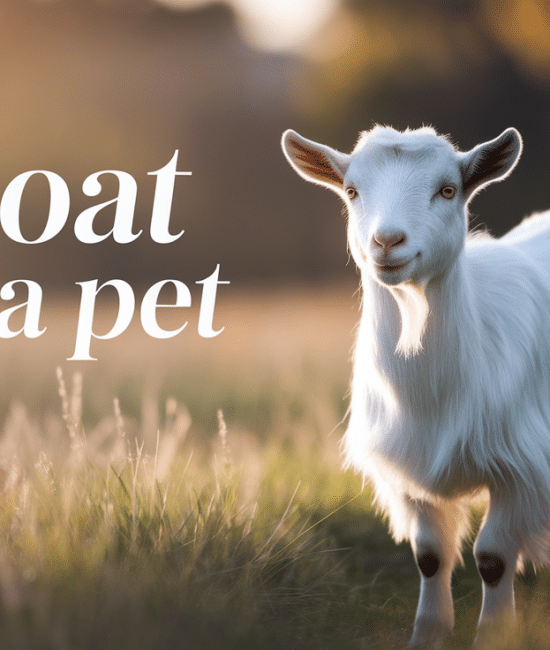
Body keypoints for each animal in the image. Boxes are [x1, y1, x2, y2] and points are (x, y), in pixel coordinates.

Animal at [281, 124, 550, 646]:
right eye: (351, 191)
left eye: (447, 190)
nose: (387, 241)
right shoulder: (410, 468)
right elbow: (430, 556)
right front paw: (427, 634)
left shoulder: (520, 467)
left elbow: (493, 558)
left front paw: (494, 636)